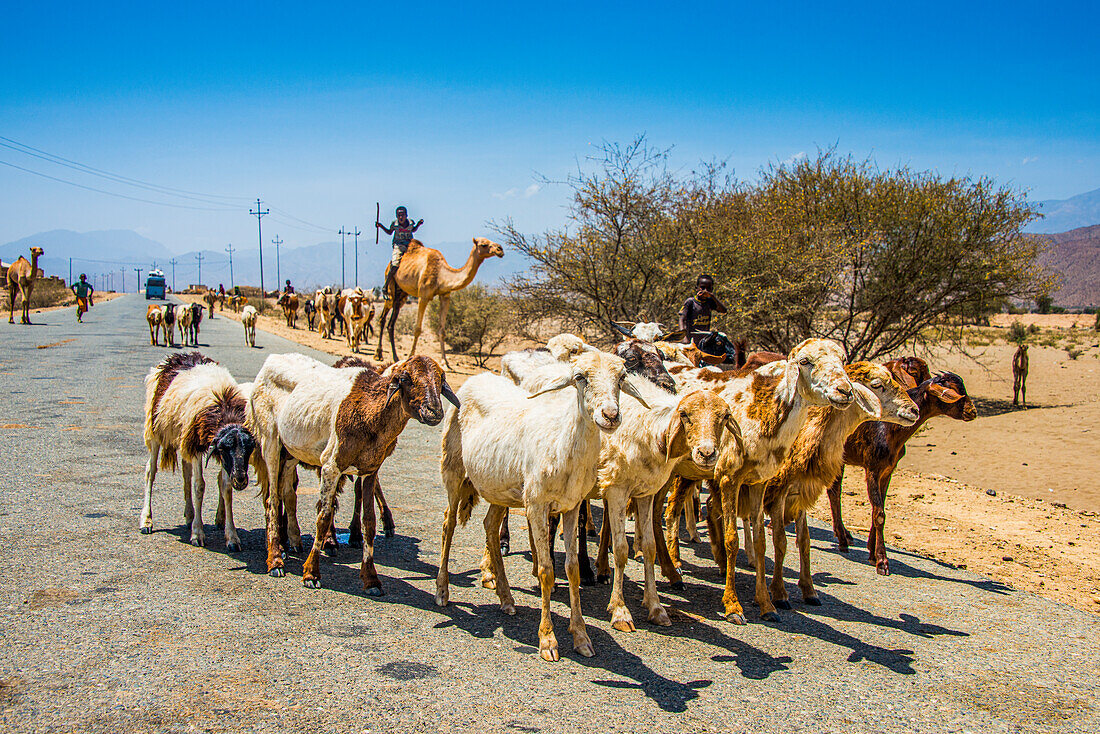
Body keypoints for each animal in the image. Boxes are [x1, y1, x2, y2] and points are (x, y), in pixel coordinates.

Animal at [137, 354, 255, 550]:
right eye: (224, 448)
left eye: (250, 448)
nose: (240, 479)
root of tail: (175, 357)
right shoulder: (198, 445)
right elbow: (199, 486)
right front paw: (197, 534)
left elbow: (225, 488)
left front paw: (232, 537)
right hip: (154, 429)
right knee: (150, 471)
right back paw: (146, 521)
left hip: (182, 436)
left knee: (186, 473)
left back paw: (190, 515)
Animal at [249, 352, 455, 589]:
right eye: (406, 379)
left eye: (440, 379)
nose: (434, 412)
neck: (370, 411)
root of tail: (273, 359)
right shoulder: (330, 466)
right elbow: (323, 516)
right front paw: (311, 573)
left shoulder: (370, 470)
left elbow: (369, 522)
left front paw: (371, 578)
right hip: (270, 441)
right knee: (272, 499)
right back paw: (275, 559)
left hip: (291, 450)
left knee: (287, 492)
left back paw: (292, 540)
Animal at [374, 238, 503, 369]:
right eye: (484, 244)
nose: (500, 249)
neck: (441, 275)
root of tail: (389, 265)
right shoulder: (423, 296)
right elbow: (417, 329)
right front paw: (411, 356)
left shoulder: (445, 296)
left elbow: (442, 330)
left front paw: (445, 362)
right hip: (391, 287)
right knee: (383, 318)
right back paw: (379, 355)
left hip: (402, 294)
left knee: (391, 323)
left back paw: (393, 357)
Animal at [827, 367, 976, 572]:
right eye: (955, 393)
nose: (972, 411)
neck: (890, 428)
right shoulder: (872, 468)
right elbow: (879, 514)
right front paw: (882, 561)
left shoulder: (888, 471)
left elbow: (878, 509)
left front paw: (872, 552)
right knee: (834, 492)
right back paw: (842, 538)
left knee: (834, 492)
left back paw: (843, 537)